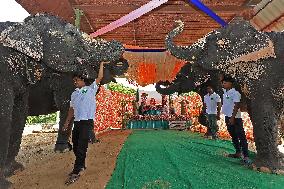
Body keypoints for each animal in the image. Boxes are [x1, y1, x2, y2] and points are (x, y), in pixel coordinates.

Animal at [0, 13, 126, 188]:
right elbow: (66, 105)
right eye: (72, 34)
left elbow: (19, 113)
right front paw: (63, 150)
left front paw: (14, 170)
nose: (119, 43)